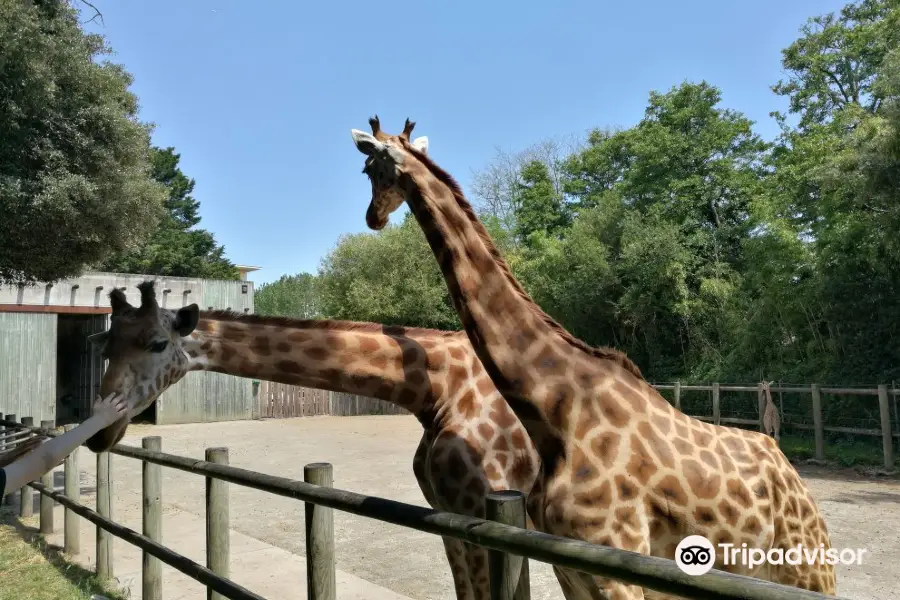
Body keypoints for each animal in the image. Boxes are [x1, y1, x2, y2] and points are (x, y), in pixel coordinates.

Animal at [82, 282, 536, 600]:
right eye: (105, 348)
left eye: (159, 343)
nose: (101, 430)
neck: (435, 390)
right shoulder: (446, 512)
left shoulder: (483, 507)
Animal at [350, 115, 836, 596]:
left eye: (370, 169)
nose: (373, 217)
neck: (554, 414)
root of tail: (796, 480)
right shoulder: (570, 563)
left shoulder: (615, 555)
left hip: (807, 570)